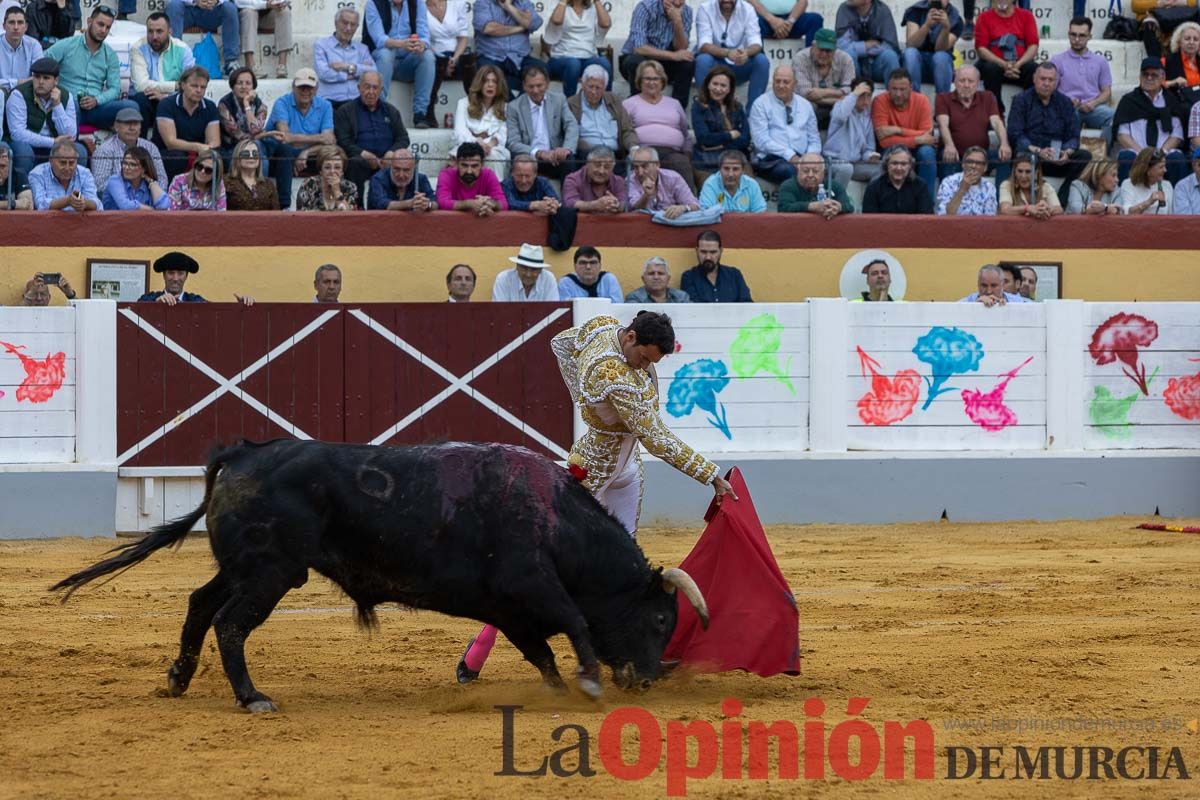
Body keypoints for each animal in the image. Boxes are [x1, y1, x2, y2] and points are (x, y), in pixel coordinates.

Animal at [54, 441, 710, 710]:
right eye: (659, 618)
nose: (646, 679)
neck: (555, 519)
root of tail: (242, 453)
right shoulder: (532, 586)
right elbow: (573, 621)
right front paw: (591, 682)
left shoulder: (509, 607)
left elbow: (540, 652)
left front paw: (556, 689)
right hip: (270, 573)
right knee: (230, 624)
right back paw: (252, 698)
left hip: (246, 567)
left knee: (198, 603)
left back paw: (177, 679)